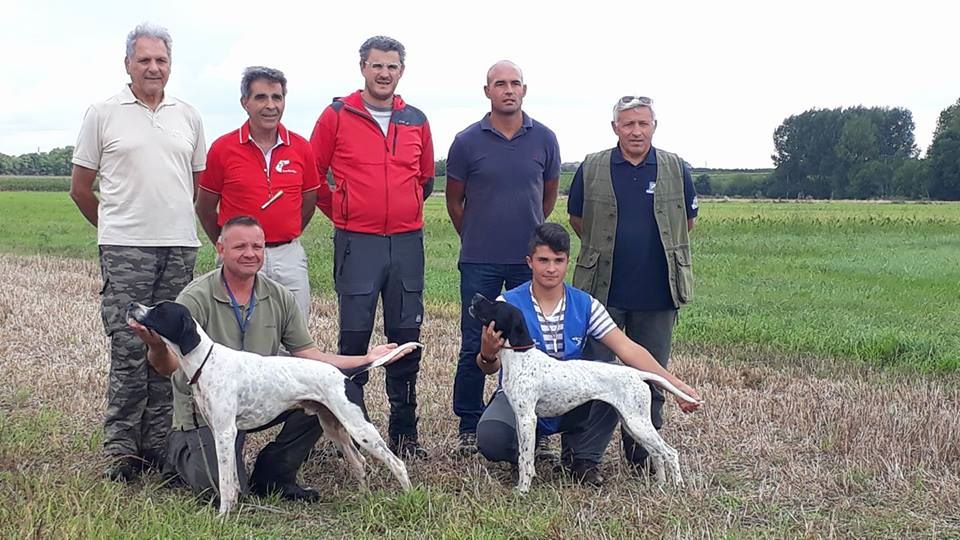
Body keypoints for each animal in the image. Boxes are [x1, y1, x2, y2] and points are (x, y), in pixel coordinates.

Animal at [126, 302, 416, 512]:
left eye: (160, 310)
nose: (132, 305)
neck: (207, 361)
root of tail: (345, 374)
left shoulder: (224, 433)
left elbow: (224, 483)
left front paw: (223, 515)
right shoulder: (224, 434)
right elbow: (233, 480)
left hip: (359, 428)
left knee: (396, 463)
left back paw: (409, 496)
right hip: (334, 426)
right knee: (359, 462)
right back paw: (364, 498)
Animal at [468, 296, 700, 494]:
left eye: (495, 305)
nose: (476, 297)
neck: (521, 356)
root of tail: (637, 373)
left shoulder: (527, 418)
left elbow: (526, 460)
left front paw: (523, 490)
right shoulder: (520, 418)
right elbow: (521, 456)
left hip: (638, 423)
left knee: (670, 453)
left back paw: (677, 486)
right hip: (632, 424)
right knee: (657, 454)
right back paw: (660, 485)